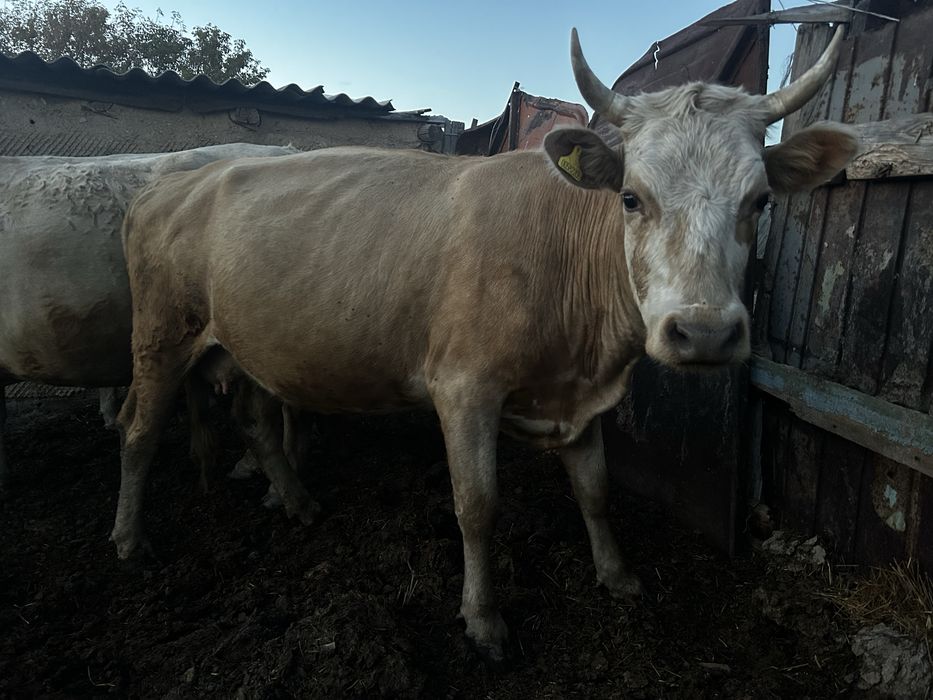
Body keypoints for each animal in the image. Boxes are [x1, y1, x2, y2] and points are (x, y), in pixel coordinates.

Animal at [113, 27, 857, 660]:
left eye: (759, 201)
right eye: (630, 197)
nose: (702, 332)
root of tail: (169, 181)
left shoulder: (580, 394)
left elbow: (594, 491)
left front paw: (617, 577)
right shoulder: (463, 388)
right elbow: (476, 507)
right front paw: (483, 618)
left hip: (247, 345)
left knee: (256, 422)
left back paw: (297, 503)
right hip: (159, 336)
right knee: (139, 432)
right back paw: (129, 538)